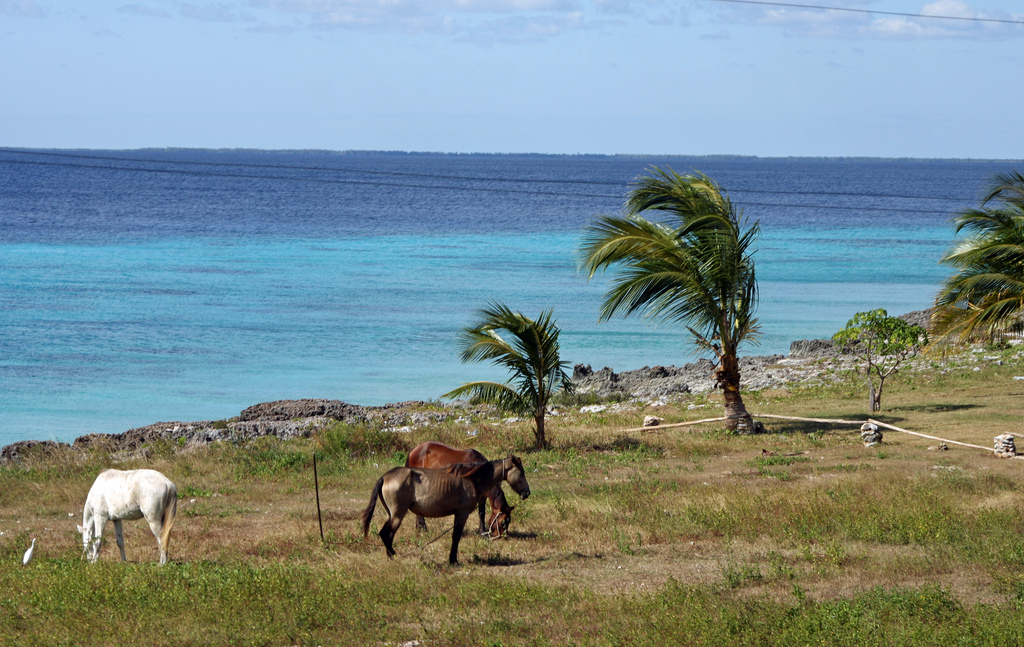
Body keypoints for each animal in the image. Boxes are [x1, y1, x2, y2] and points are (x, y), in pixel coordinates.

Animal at [360, 454, 532, 565]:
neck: (472, 479)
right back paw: (394, 556)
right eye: (522, 473)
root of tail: (385, 477)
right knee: (386, 533)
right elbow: (456, 537)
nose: (527, 493)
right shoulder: (461, 514)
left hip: (391, 514)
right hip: (397, 514)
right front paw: (453, 560)